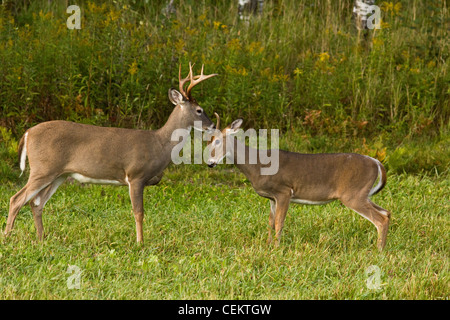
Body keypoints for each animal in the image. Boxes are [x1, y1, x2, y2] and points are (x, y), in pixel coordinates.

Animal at [207, 115, 390, 252]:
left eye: (217, 141)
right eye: (208, 142)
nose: (209, 163)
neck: (257, 165)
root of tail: (376, 162)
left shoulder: (284, 191)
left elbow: (279, 222)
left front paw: (276, 249)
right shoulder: (272, 198)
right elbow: (270, 222)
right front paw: (267, 246)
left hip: (352, 194)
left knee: (380, 219)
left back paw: (378, 250)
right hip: (362, 194)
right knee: (386, 212)